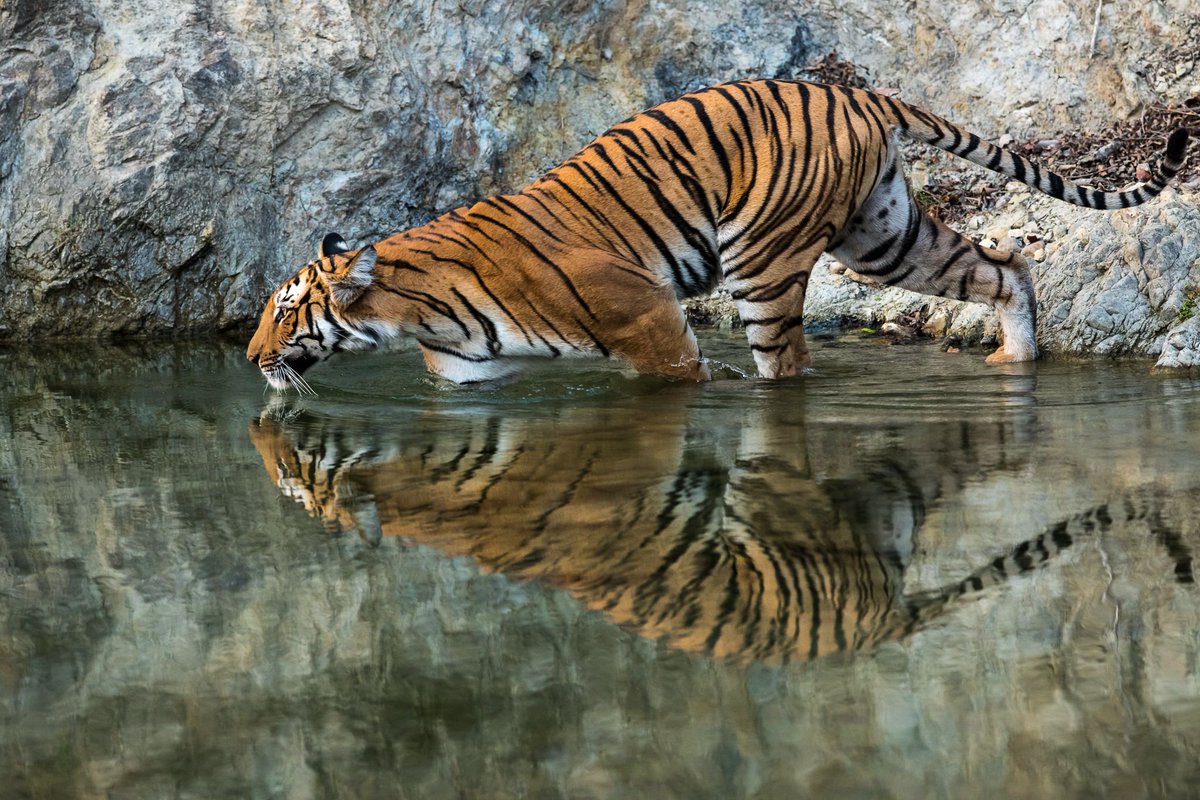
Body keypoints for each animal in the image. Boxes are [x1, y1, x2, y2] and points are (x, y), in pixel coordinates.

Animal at [246, 79, 1191, 388]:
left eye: (287, 310)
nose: (252, 358)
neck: (414, 310)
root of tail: (853, 90)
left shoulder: (646, 314)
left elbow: (681, 377)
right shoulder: (470, 376)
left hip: (765, 264)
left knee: (788, 364)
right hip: (885, 236)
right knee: (1002, 267)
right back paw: (1012, 361)